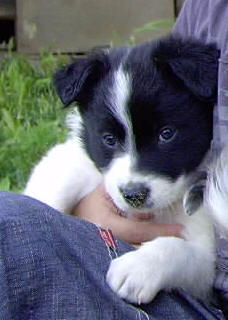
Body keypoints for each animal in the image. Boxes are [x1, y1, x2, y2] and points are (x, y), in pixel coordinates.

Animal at [24, 36, 218, 304]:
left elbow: (177, 248)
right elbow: (57, 178)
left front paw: (137, 269)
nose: (134, 195)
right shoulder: (83, 161)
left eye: (167, 134)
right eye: (109, 139)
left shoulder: (206, 266)